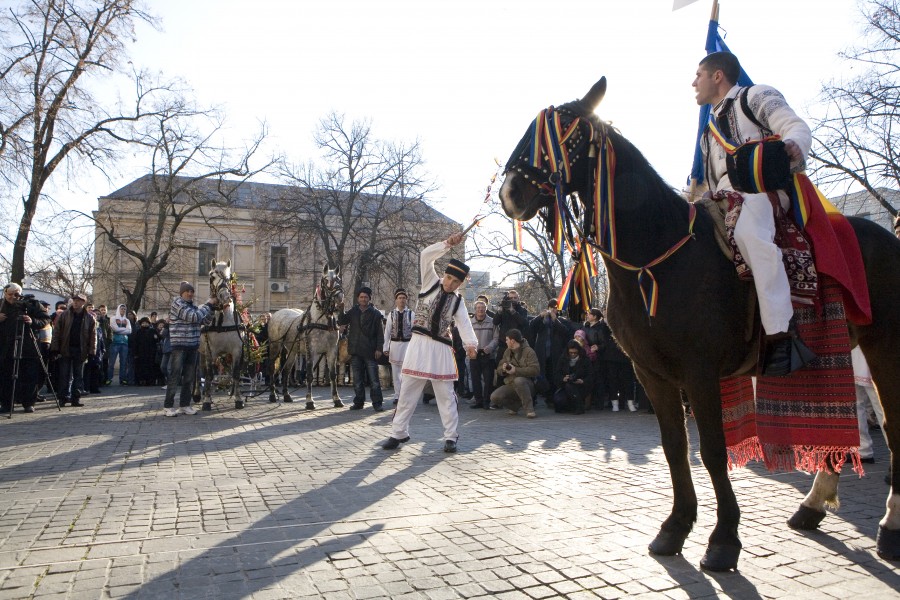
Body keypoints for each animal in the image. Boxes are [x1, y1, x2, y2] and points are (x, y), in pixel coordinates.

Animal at [500, 76, 900, 572]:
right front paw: (675, 527)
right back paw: (813, 505)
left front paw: (724, 537)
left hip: (887, 348)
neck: (656, 257)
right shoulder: (651, 373)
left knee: (894, 426)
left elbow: (711, 450)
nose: (510, 193)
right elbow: (675, 447)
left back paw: (889, 527)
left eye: (566, 132)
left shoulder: (700, 371)